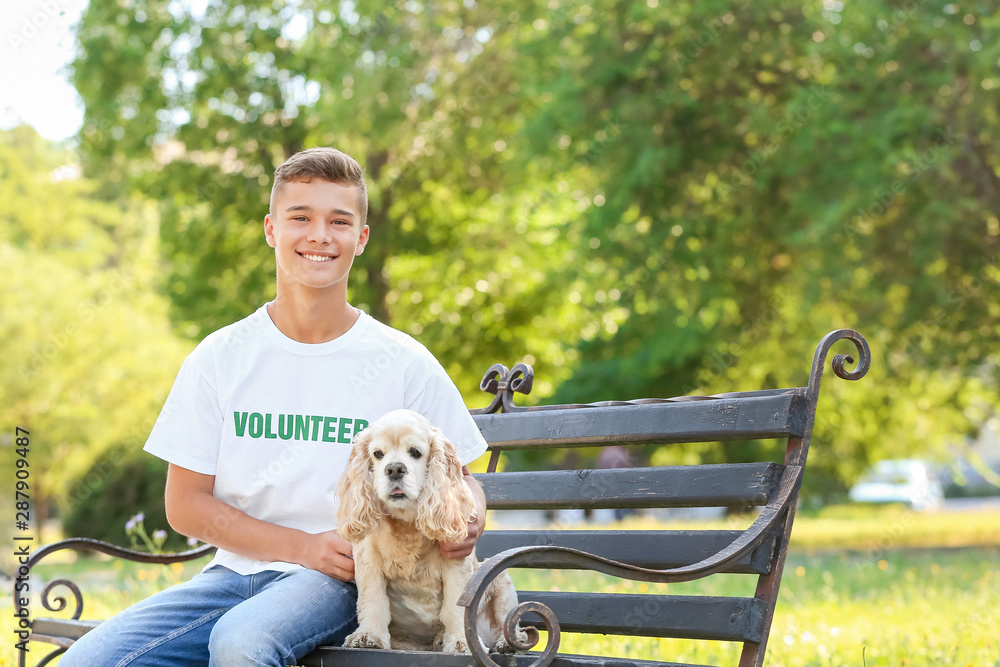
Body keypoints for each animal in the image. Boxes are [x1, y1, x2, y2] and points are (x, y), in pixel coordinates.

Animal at [336, 410, 528, 656]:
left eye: (415, 452)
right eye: (377, 454)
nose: (394, 469)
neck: (406, 524)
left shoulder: (457, 564)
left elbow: (456, 605)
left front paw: (461, 641)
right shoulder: (368, 562)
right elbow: (373, 601)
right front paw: (369, 635)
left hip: (502, 582)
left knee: (508, 622)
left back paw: (507, 643)